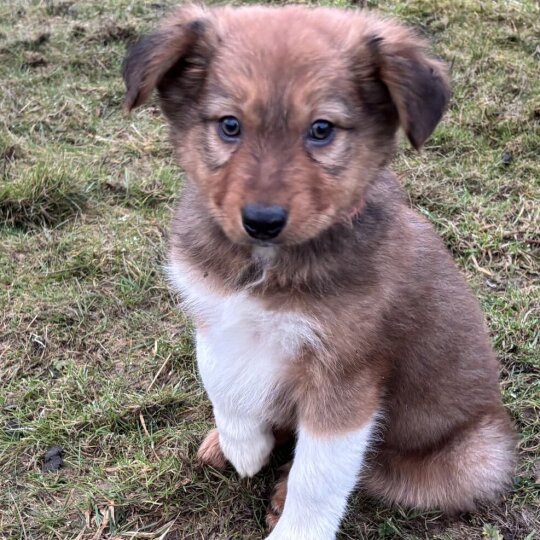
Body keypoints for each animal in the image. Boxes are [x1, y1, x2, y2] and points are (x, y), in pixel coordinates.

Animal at [121, 5, 516, 540]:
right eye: (230, 125)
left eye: (322, 130)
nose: (262, 221)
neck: (265, 266)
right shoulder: (215, 313)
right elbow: (223, 383)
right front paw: (243, 445)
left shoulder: (346, 377)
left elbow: (320, 473)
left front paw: (294, 525)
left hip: (472, 456)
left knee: (369, 467)